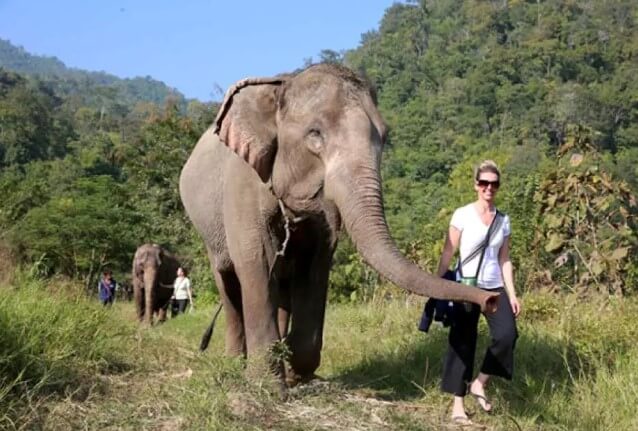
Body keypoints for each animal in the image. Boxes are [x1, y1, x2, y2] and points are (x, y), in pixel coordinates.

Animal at [180, 63, 500, 384]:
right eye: (315, 134)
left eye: (385, 135)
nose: (493, 301)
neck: (284, 85)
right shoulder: (242, 182)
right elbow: (255, 258)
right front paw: (267, 385)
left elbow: (316, 262)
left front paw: (298, 372)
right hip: (208, 229)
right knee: (228, 283)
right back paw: (235, 364)